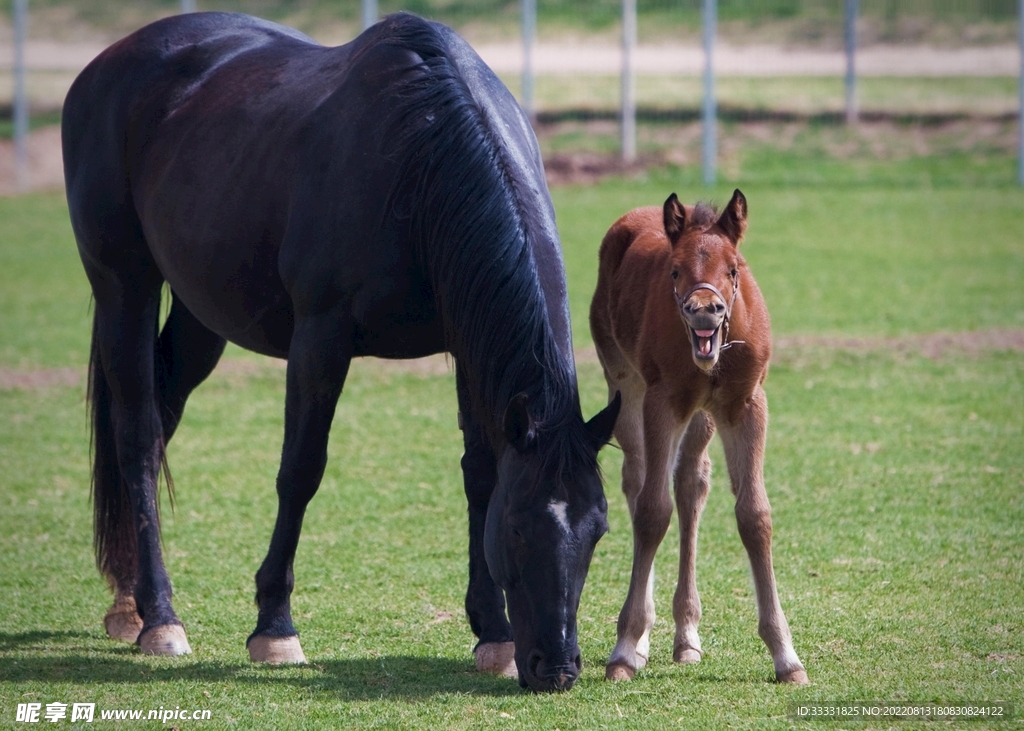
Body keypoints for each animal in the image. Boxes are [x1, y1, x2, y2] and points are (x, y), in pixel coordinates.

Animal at [61, 11, 620, 693]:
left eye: (598, 530)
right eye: (518, 526)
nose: (558, 668)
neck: (419, 158)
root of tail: (106, 64)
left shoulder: (468, 345)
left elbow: (480, 472)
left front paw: (493, 633)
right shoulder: (319, 341)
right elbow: (301, 470)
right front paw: (274, 628)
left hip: (200, 317)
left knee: (156, 419)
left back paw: (127, 601)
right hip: (125, 287)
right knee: (139, 435)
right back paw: (160, 617)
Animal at [589, 191, 808, 684]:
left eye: (734, 268)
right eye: (675, 270)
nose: (705, 310)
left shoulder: (746, 404)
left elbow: (754, 516)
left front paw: (786, 655)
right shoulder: (662, 401)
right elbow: (652, 512)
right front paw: (625, 648)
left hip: (703, 418)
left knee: (691, 482)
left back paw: (686, 634)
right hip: (625, 383)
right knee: (638, 480)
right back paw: (644, 637)